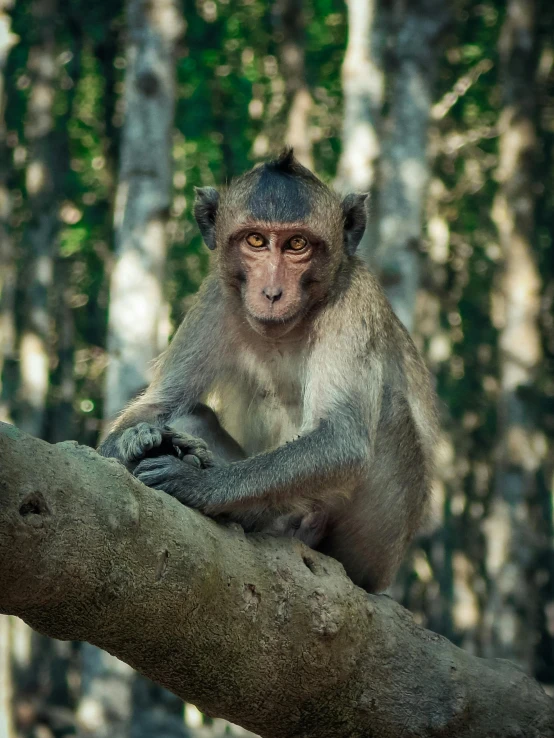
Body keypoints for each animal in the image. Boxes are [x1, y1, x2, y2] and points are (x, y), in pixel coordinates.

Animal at [98, 150, 436, 592]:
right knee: (188, 413)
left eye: (297, 244)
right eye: (256, 240)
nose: (272, 293)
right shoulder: (216, 297)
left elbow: (341, 437)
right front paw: (133, 442)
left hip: (376, 550)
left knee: (391, 408)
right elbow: (161, 403)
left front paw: (198, 483)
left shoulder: (353, 299)